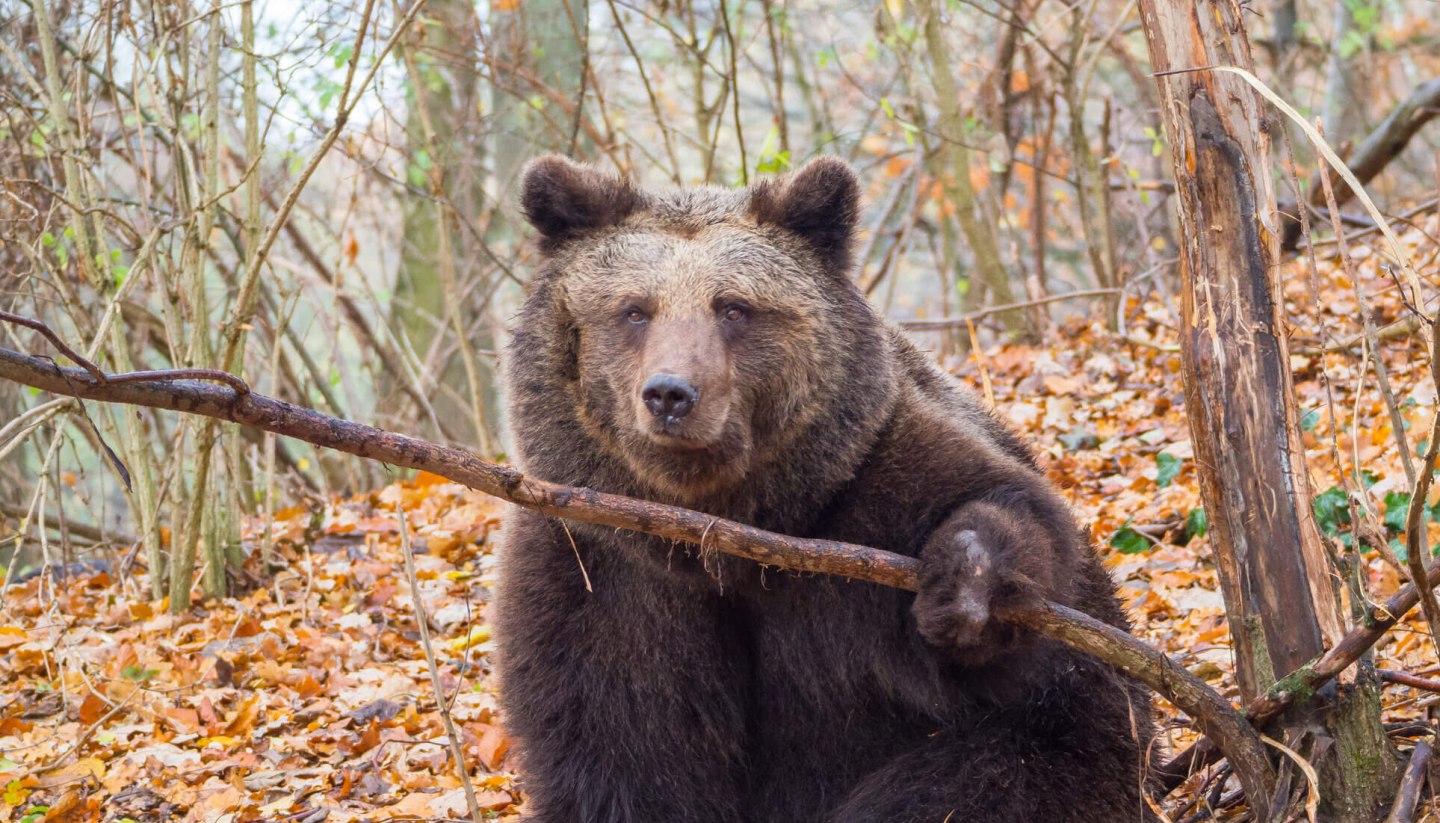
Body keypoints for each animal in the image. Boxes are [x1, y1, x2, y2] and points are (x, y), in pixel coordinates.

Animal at [501, 156, 1152, 823]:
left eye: (733, 308)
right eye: (635, 310)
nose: (670, 394)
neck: (719, 531)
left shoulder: (866, 496)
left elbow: (1000, 509)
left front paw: (967, 584)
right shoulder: (598, 570)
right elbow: (622, 748)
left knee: (984, 779)